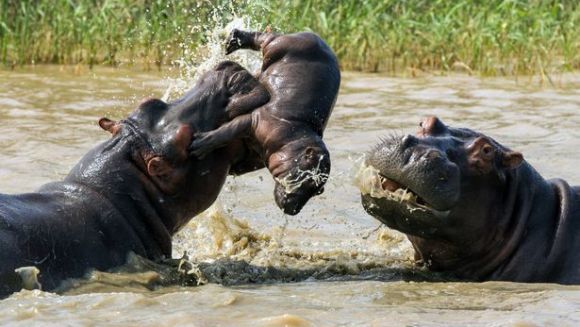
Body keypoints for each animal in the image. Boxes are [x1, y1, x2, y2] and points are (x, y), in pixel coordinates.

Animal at [188, 29, 342, 217]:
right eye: (309, 178)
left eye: (318, 190)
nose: (294, 210)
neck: (295, 138)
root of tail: (312, 34)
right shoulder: (255, 120)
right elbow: (227, 131)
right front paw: (198, 145)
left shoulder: (258, 154)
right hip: (276, 46)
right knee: (264, 37)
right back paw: (233, 41)